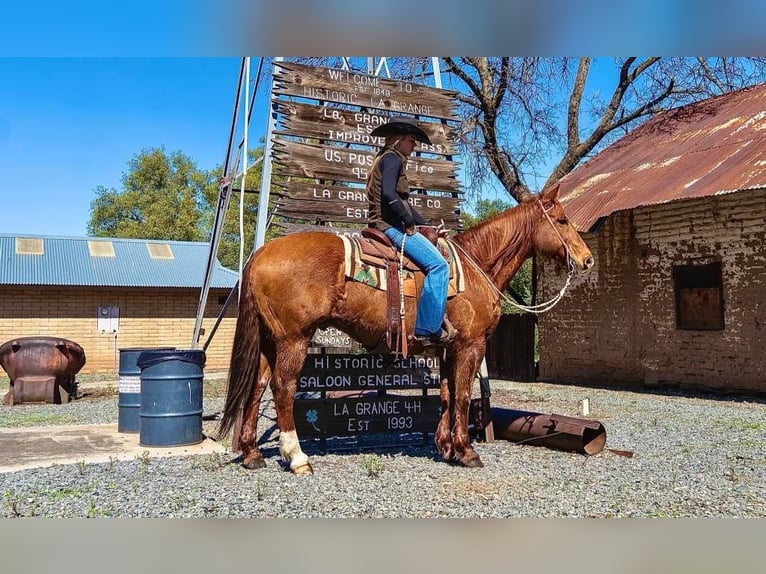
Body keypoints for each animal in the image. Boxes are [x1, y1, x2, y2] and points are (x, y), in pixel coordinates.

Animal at [219, 186, 596, 476]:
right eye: (562, 220)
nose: (588, 259)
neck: (476, 265)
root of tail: (261, 252)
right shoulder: (471, 346)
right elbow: (462, 396)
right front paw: (467, 451)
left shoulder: (447, 348)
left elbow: (446, 394)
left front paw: (446, 447)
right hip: (293, 339)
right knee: (283, 388)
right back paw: (297, 458)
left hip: (270, 340)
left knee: (257, 387)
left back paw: (252, 454)